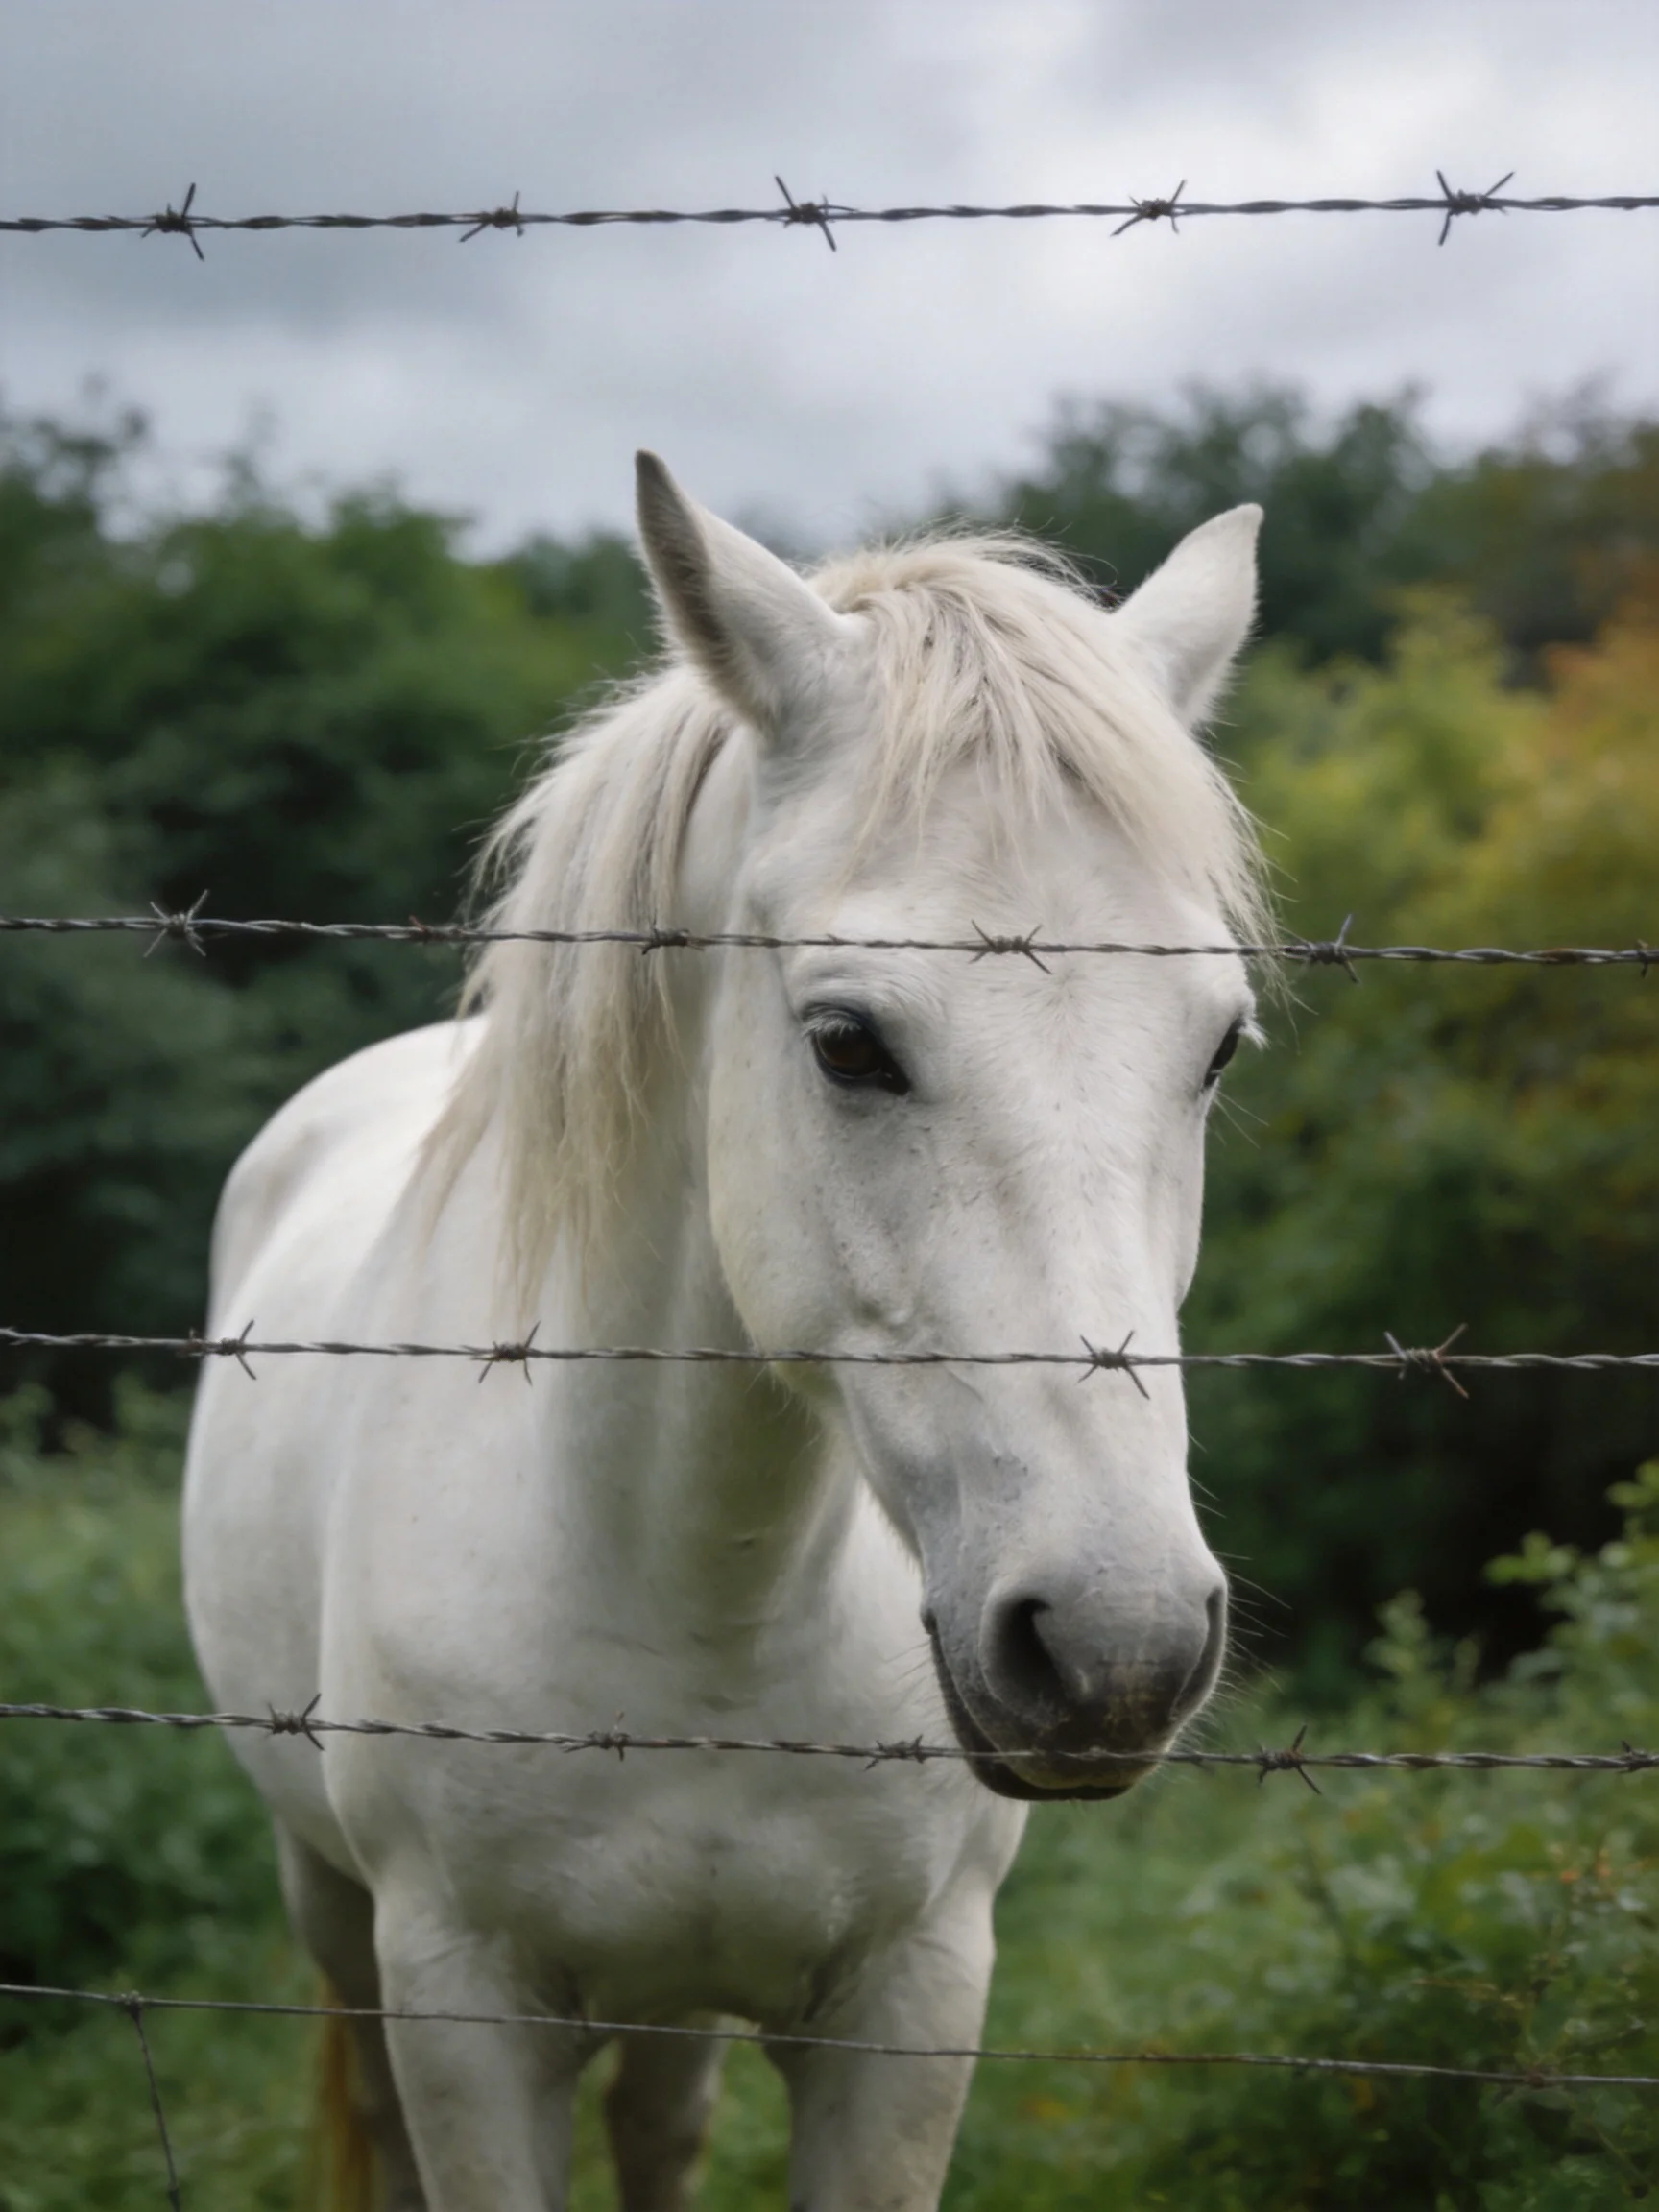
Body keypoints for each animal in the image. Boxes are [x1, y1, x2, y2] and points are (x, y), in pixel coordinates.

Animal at [182, 452, 1268, 2211]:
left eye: (1217, 1044)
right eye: (847, 1041)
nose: (1118, 1647)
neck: (703, 1598)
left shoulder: (909, 2008)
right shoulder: (461, 2014)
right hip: (326, 1899)